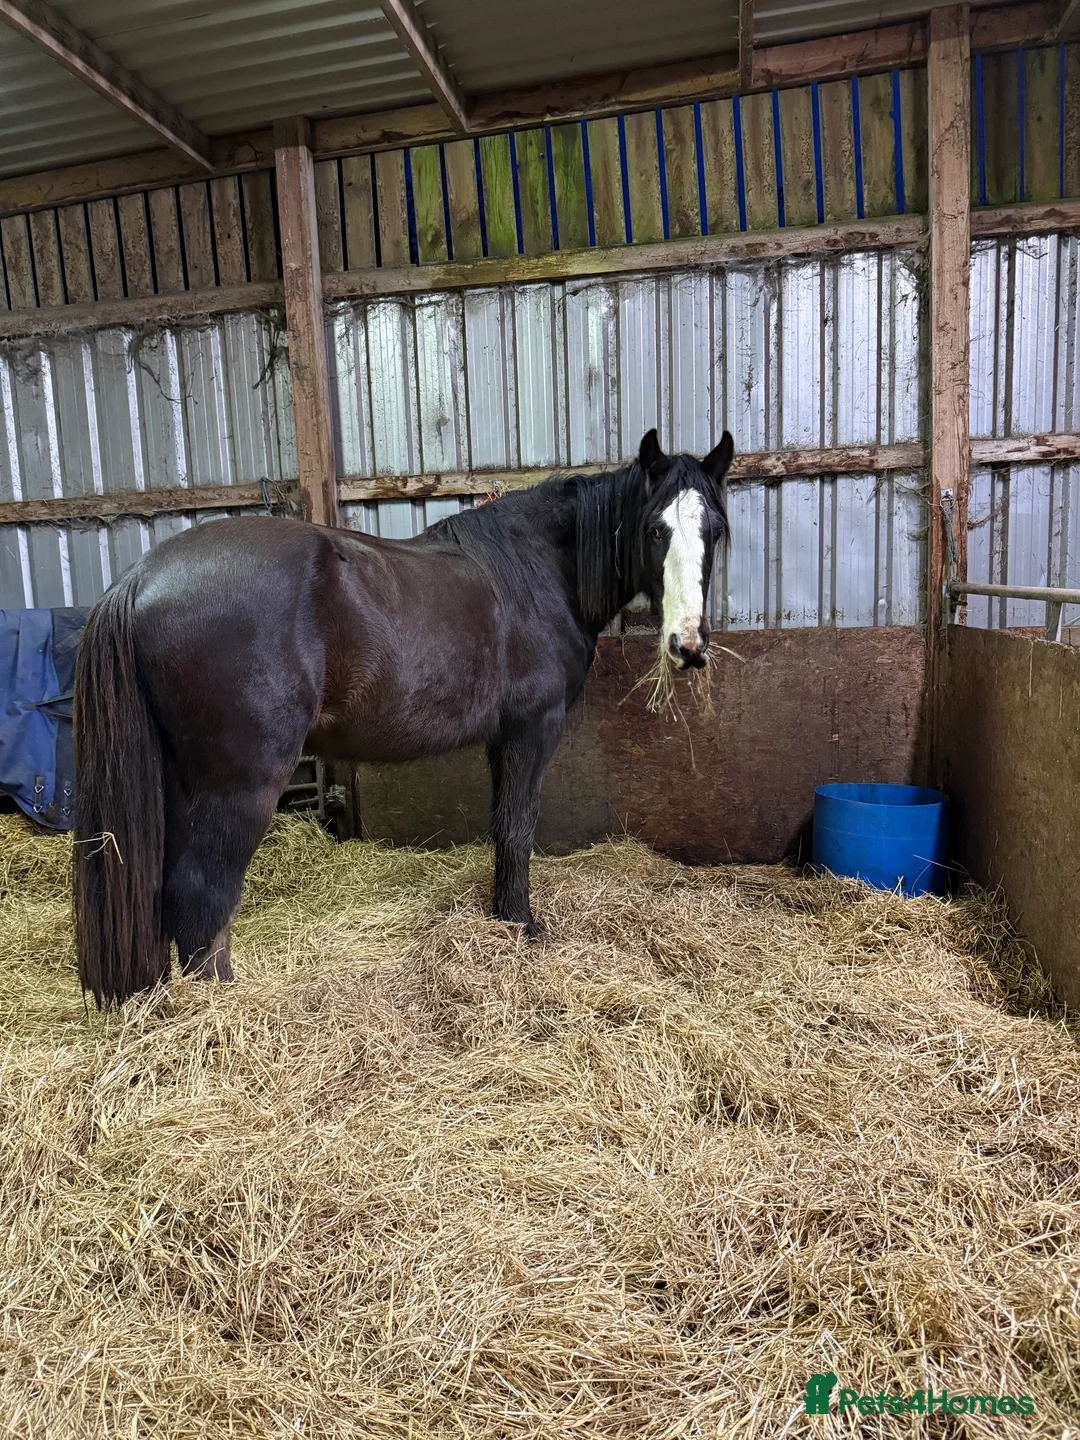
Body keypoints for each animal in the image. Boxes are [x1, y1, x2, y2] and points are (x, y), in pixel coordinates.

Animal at [73, 428, 733, 1006]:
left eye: (716, 531)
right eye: (654, 529)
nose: (687, 645)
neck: (536, 572)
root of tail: (138, 580)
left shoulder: (500, 740)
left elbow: (502, 828)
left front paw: (503, 920)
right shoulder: (532, 731)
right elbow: (519, 829)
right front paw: (524, 927)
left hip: (180, 787)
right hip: (240, 787)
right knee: (202, 895)